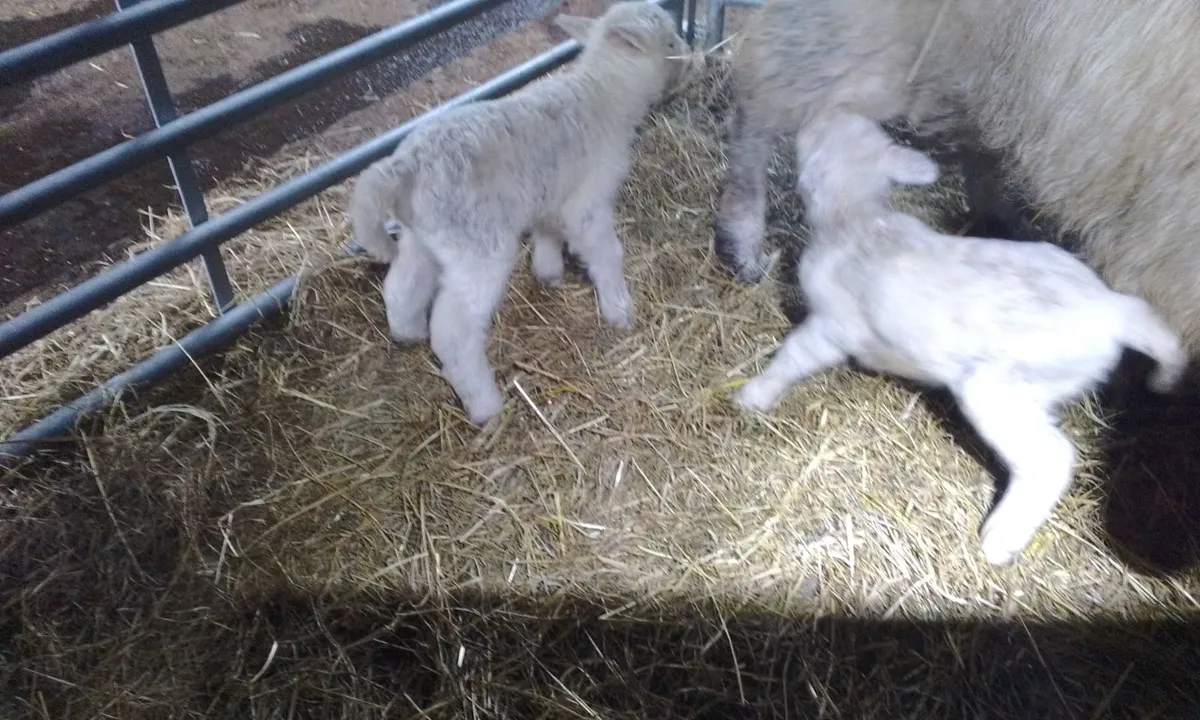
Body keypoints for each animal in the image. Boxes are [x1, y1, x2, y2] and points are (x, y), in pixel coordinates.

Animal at [347, 1, 690, 427]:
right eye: (670, 41)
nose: (692, 56)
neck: (603, 93)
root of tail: (406, 165)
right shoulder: (588, 201)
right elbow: (607, 254)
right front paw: (619, 310)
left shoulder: (552, 193)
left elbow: (547, 231)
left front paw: (549, 271)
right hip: (477, 245)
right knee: (453, 331)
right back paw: (485, 406)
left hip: (422, 236)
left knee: (401, 286)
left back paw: (407, 333)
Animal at [732, 113, 1187, 566]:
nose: (809, 121)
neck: (856, 215)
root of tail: (1112, 310)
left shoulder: (830, 325)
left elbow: (793, 357)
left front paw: (753, 395)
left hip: (999, 389)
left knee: (1051, 458)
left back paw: (1002, 538)